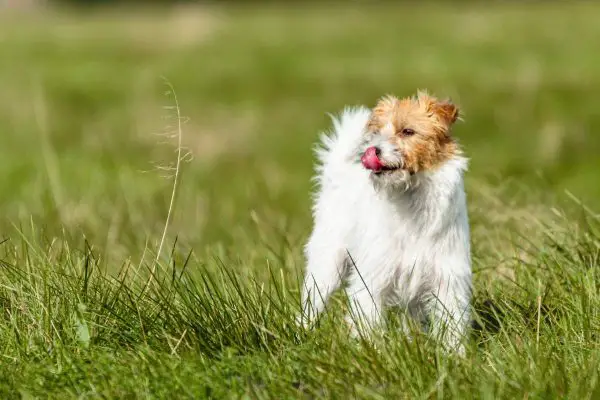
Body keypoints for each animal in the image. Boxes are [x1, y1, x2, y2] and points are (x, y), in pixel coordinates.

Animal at [298, 90, 472, 354]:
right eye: (378, 132)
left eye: (408, 131)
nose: (373, 150)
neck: (411, 200)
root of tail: (338, 178)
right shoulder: (373, 277)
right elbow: (368, 320)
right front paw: (372, 354)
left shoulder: (448, 279)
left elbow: (452, 324)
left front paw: (454, 356)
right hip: (326, 266)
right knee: (311, 304)